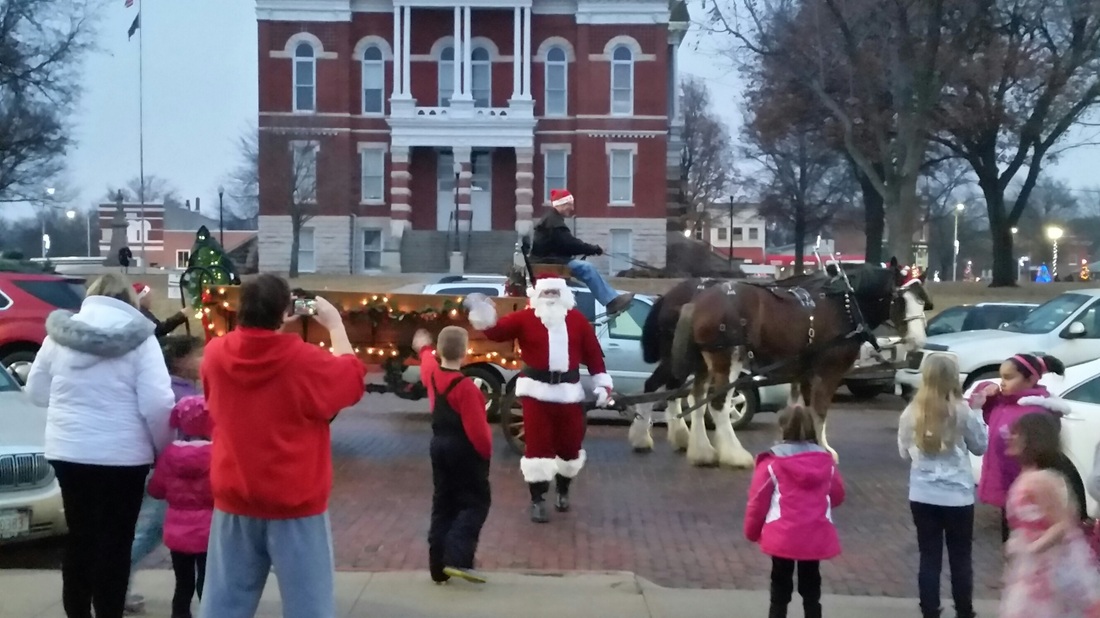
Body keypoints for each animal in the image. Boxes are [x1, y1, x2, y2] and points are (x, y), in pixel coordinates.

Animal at [633, 259, 932, 466]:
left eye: (923, 300)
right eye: (898, 299)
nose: (918, 340)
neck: (845, 305)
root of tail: (694, 300)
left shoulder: (803, 372)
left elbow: (802, 408)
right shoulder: (828, 371)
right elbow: (819, 410)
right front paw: (824, 450)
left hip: (702, 361)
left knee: (688, 396)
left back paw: (698, 450)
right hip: (726, 358)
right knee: (715, 403)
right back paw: (732, 454)